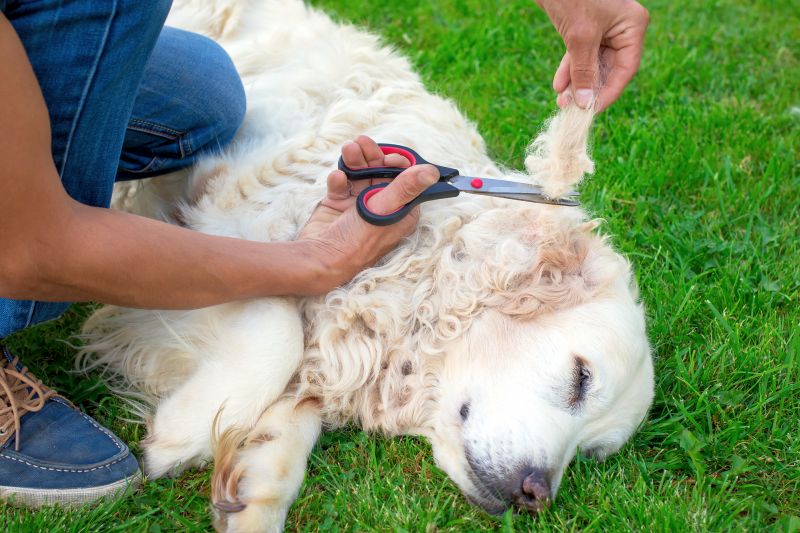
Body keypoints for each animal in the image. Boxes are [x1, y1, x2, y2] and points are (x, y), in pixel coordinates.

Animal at [78, 2, 652, 528]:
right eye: (581, 379)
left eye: (591, 453)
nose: (534, 495)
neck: (422, 260)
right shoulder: (218, 226)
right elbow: (279, 328)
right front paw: (185, 430)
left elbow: (294, 410)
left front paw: (253, 486)